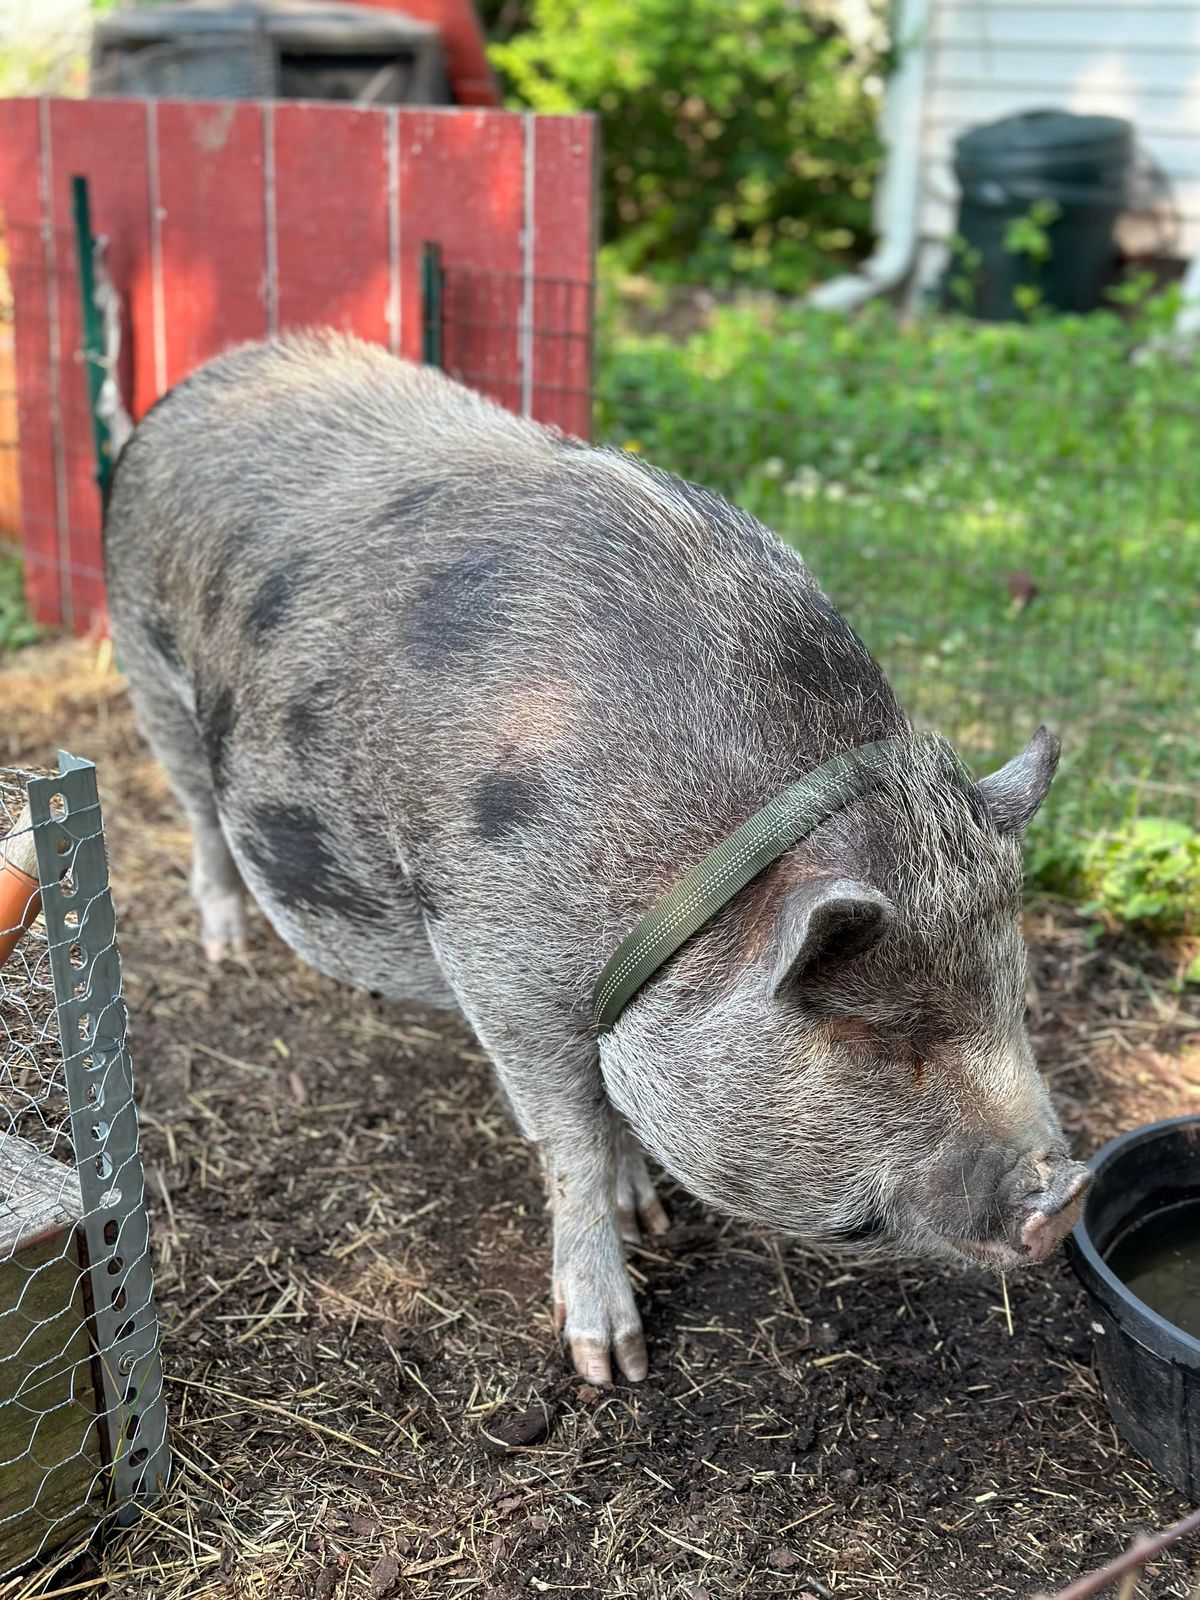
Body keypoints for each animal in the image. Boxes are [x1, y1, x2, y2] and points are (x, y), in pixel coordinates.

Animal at [103, 332, 1091, 1385]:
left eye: (1014, 997)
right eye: (883, 1033)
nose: (1069, 1187)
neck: (690, 877)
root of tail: (196, 385)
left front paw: (646, 1214)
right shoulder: (499, 961)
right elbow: (570, 1134)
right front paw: (611, 1362)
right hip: (150, 676)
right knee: (200, 817)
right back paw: (226, 946)